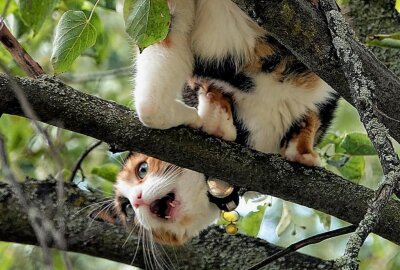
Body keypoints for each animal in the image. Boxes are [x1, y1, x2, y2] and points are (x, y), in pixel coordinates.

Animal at [94, 0, 338, 247]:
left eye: (142, 169)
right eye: (127, 210)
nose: (137, 199)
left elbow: (312, 117)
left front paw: (303, 153)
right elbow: (161, 102)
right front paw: (212, 121)